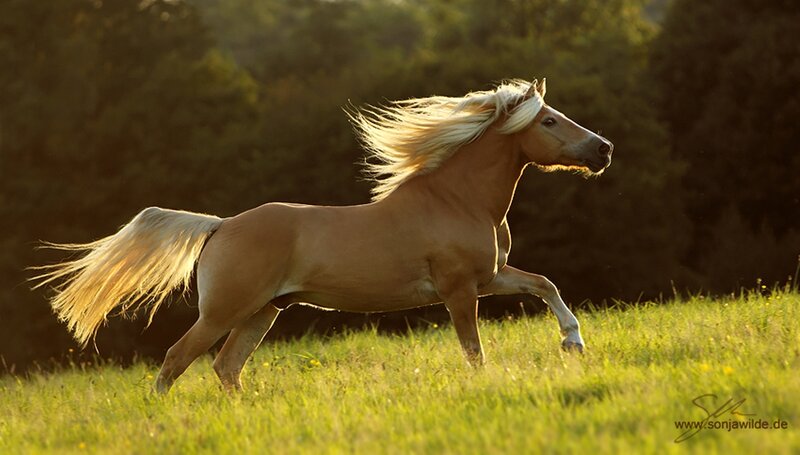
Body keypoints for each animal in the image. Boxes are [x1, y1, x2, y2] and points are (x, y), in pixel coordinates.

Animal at [32, 78, 613, 393]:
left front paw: (574, 343)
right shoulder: (457, 290)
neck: (456, 199)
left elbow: (544, 284)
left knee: (226, 366)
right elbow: (474, 350)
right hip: (224, 311)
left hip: (262, 311)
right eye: (551, 122)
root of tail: (220, 226)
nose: (603, 149)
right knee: (178, 359)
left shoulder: (487, 277)